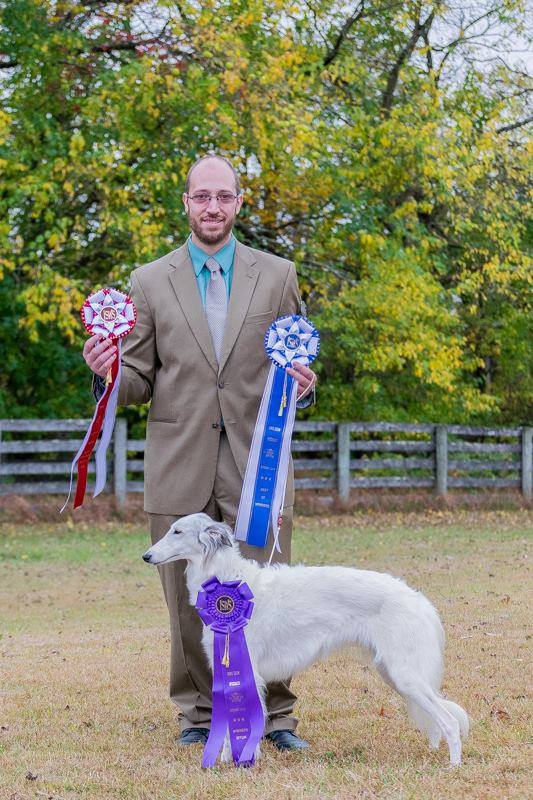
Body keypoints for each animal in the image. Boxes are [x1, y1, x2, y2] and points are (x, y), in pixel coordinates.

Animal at [140, 516, 466, 764]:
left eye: (177, 531)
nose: (146, 556)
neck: (228, 583)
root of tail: (419, 601)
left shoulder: (248, 670)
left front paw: (241, 759)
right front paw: (227, 760)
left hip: (405, 675)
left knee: (450, 722)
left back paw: (453, 766)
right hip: (394, 674)